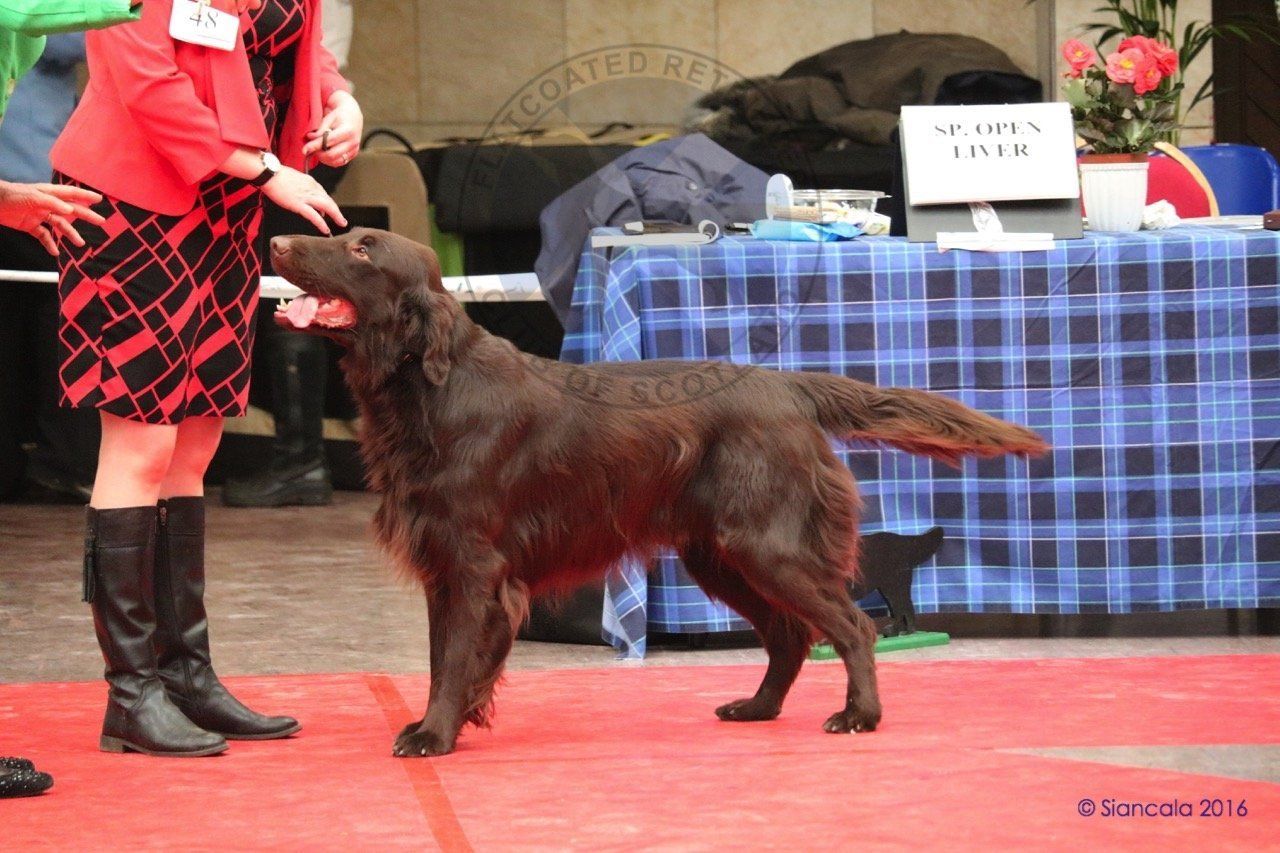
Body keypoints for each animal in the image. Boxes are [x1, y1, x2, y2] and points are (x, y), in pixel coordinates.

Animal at [270, 228, 1047, 757]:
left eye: (362, 249)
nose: (276, 238)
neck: (431, 388)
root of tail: (786, 387)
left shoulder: (474, 566)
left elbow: (456, 659)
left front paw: (434, 735)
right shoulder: (444, 567)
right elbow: (442, 657)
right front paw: (444, 722)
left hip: (767, 546)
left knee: (851, 626)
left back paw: (859, 716)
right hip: (719, 554)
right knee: (789, 634)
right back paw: (757, 708)